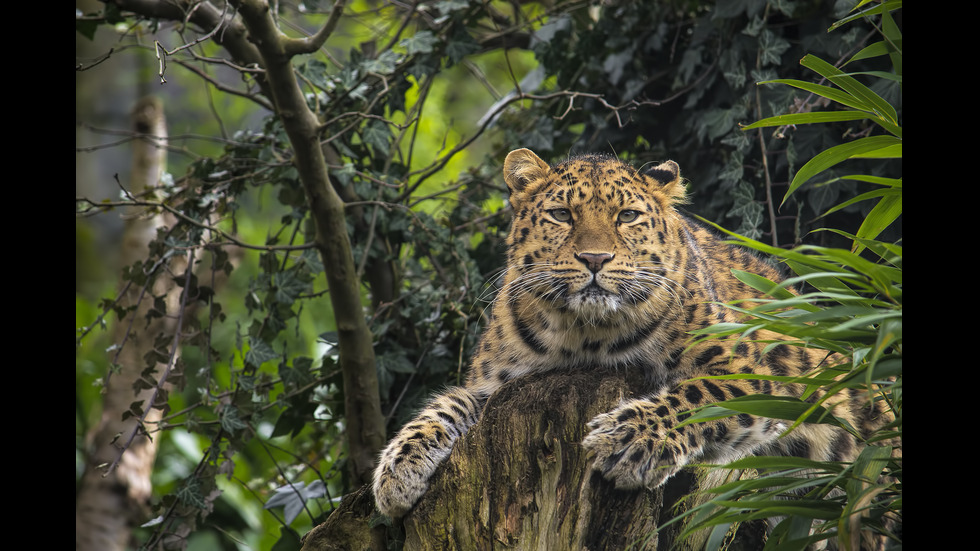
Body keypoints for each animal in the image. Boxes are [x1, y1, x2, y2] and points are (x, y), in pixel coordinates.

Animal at [372, 148, 892, 520]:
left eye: (626, 217)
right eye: (562, 215)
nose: (595, 258)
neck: (585, 334)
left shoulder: (755, 372)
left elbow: (696, 394)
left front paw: (627, 440)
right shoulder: (497, 387)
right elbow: (446, 405)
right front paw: (398, 468)